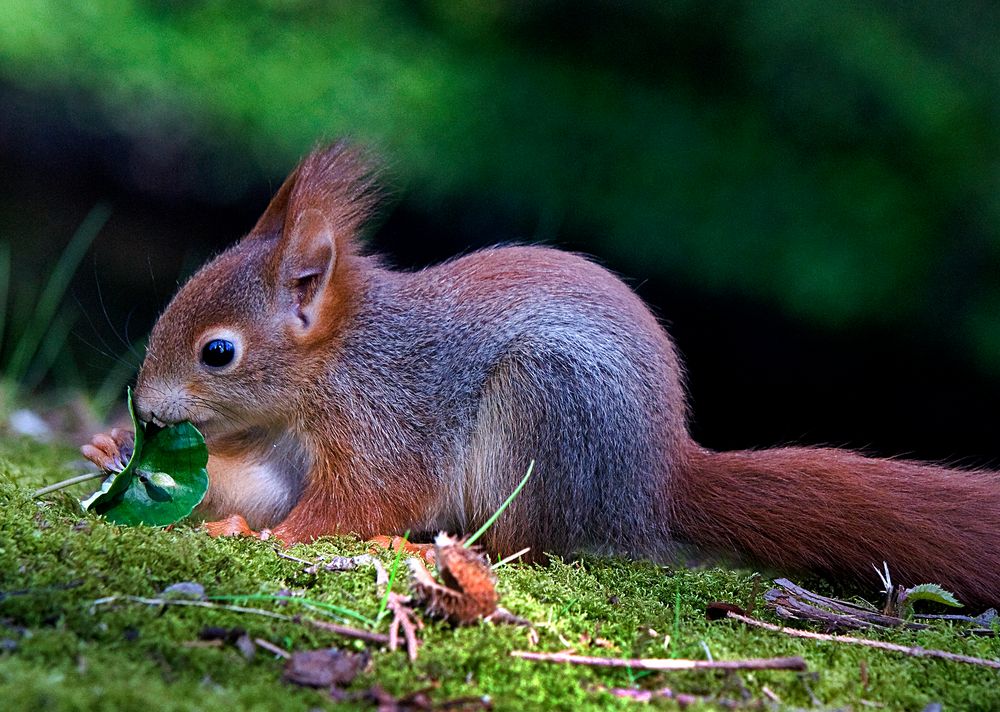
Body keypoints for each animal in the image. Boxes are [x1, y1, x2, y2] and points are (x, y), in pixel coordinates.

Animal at [80, 143, 1000, 608]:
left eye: (218, 352)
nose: (148, 408)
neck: (334, 364)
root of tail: (654, 480)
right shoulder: (281, 447)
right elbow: (258, 485)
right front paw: (110, 448)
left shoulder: (387, 420)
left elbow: (355, 502)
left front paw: (266, 537)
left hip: (543, 414)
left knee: (522, 543)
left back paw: (423, 546)